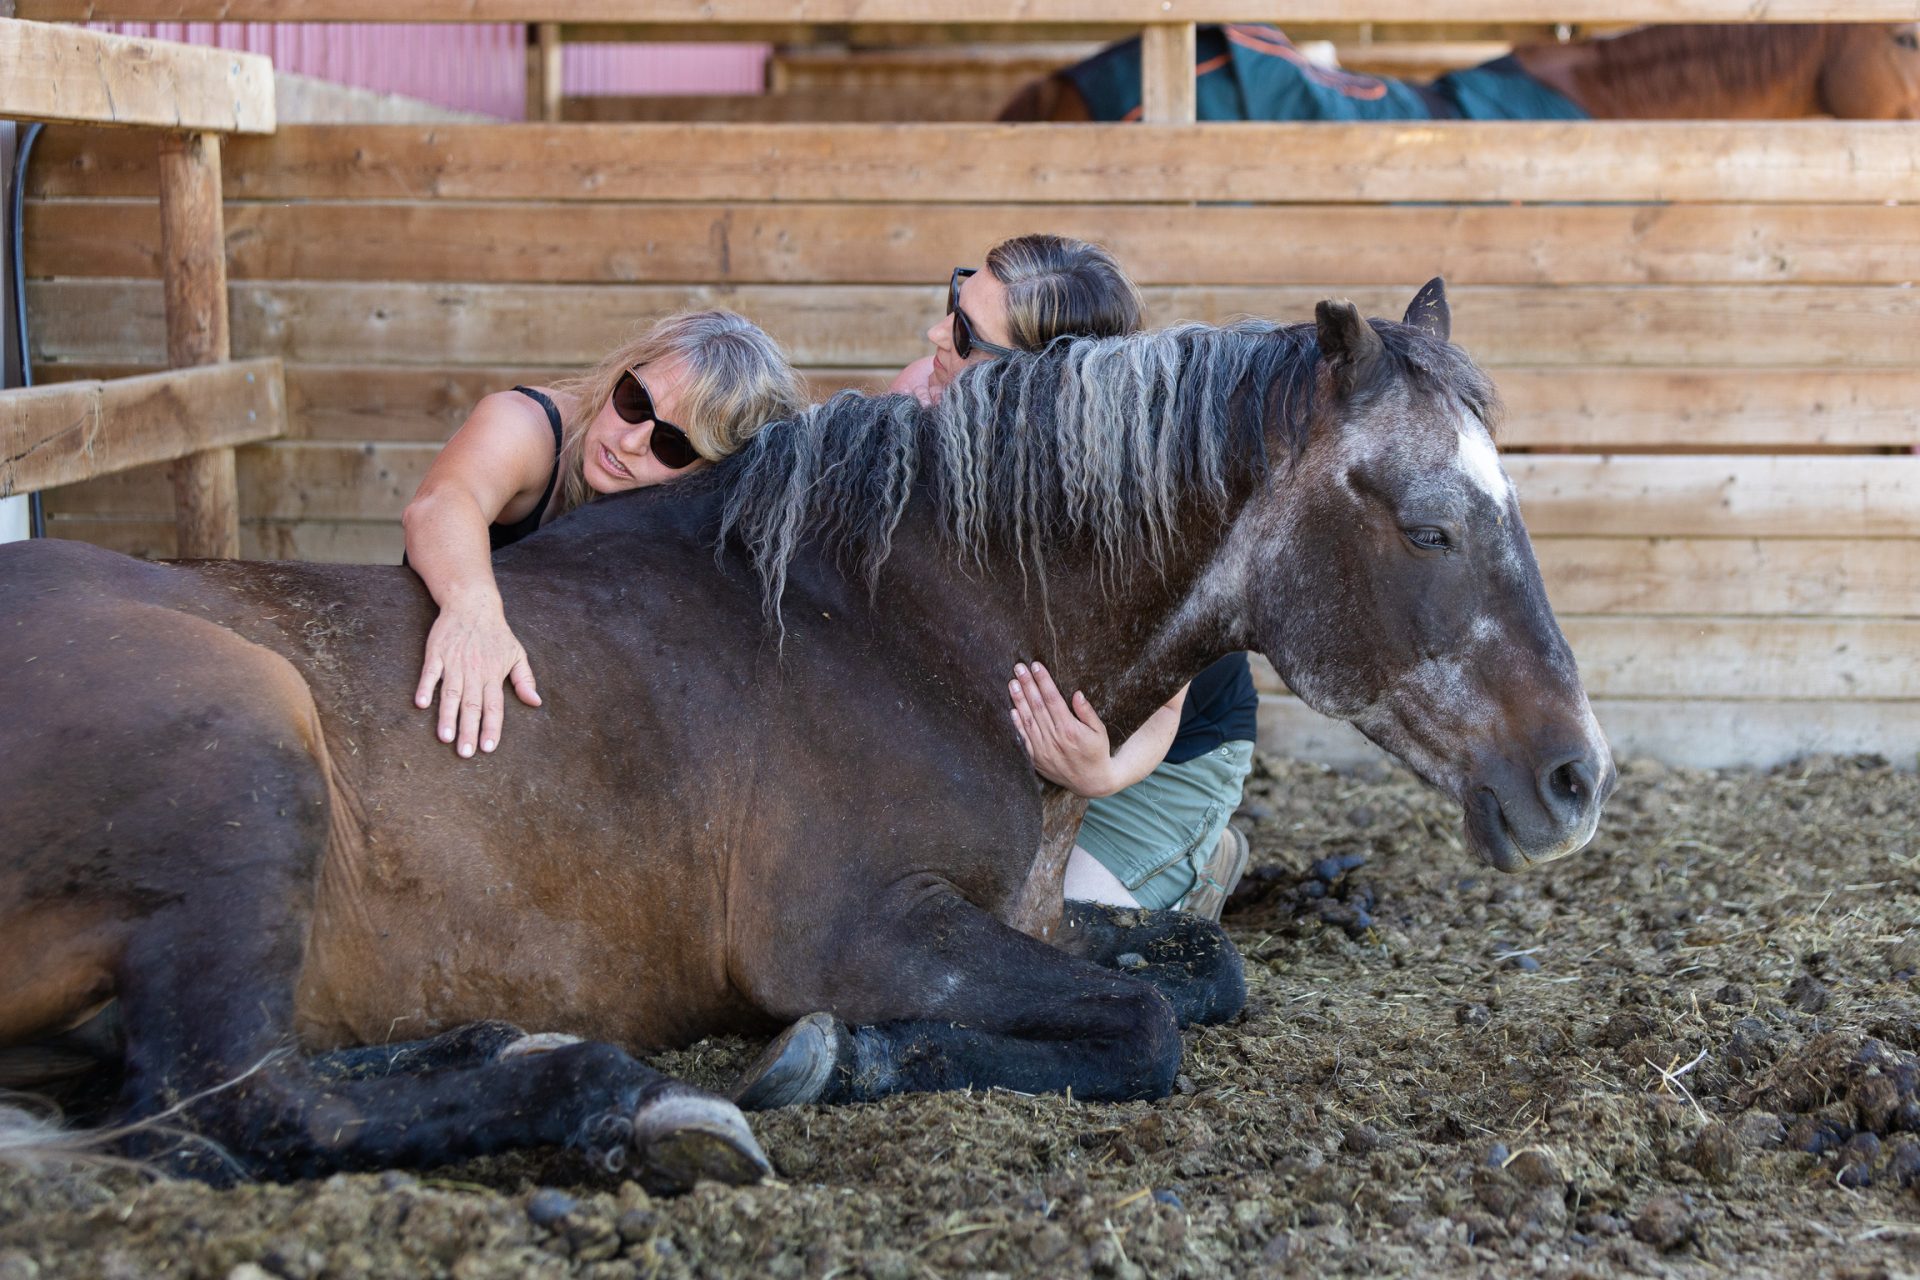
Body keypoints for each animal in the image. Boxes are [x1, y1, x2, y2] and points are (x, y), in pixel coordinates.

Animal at [0, 281, 1614, 1187]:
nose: (1574, 780)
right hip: (247, 767)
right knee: (231, 1109)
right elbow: (1147, 1025)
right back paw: (633, 1104)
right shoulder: (862, 931)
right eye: (1429, 523)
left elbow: (1203, 971)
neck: (913, 625)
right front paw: (843, 1060)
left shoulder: (1023, 915)